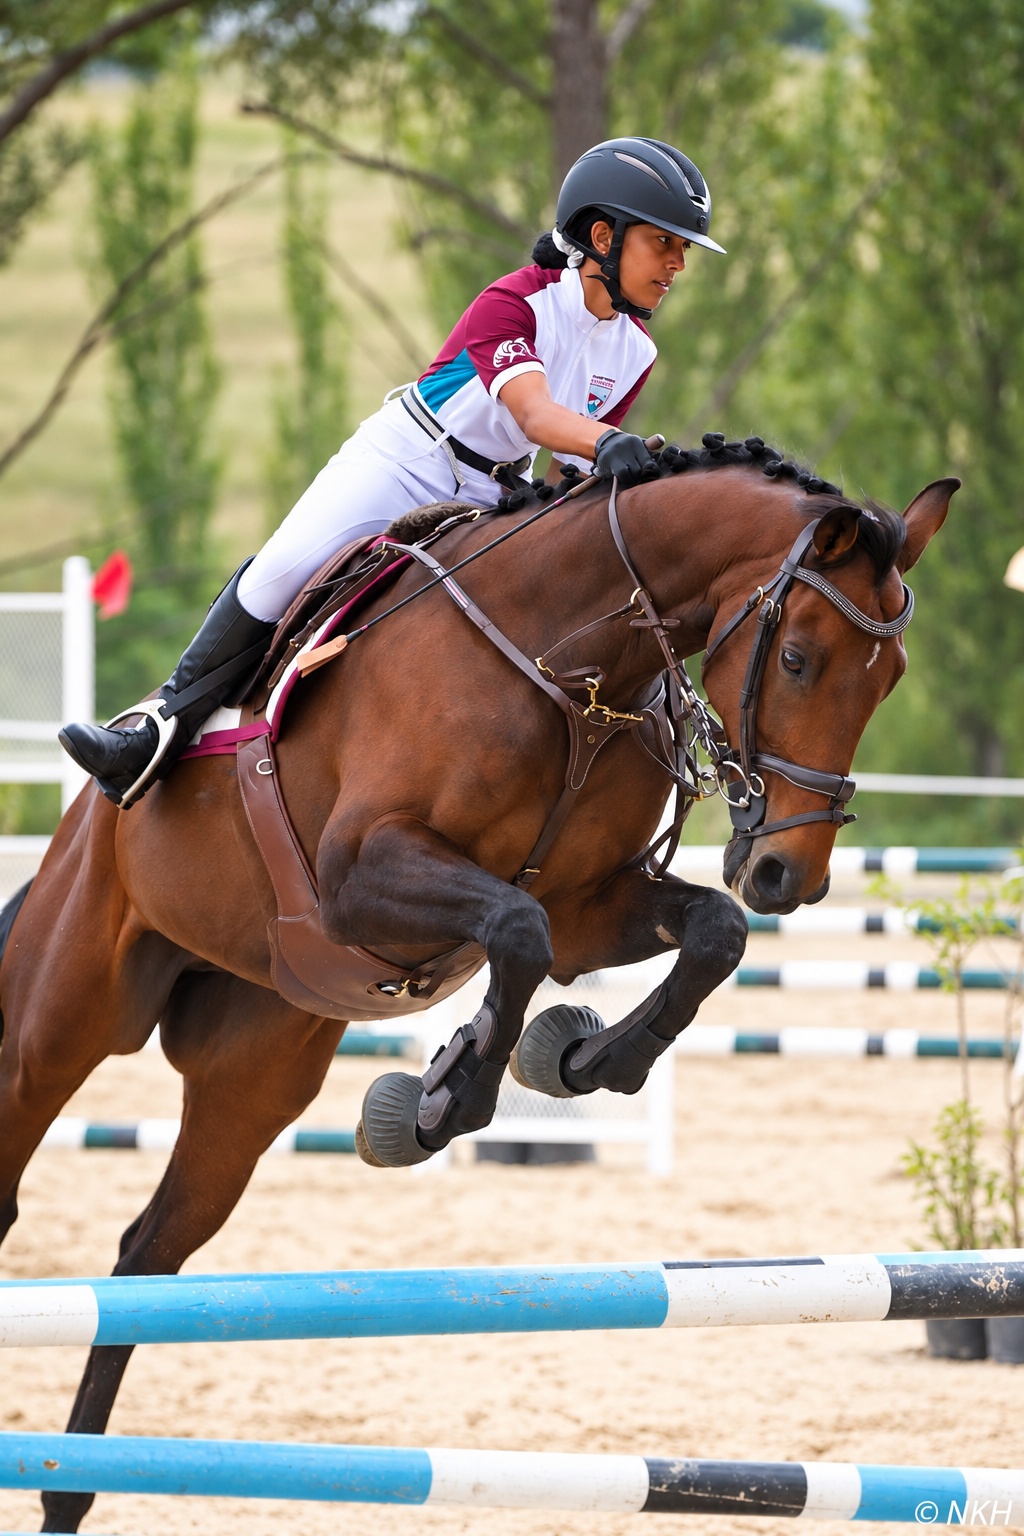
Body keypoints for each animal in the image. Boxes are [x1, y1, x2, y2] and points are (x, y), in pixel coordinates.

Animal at [0, 436, 955, 1533]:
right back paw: (124, 747)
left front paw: (574, 1058)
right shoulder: (361, 876)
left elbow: (697, 936)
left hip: (257, 1069)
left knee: (150, 1257)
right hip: (61, 1022)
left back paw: (68, 1492)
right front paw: (443, 1098)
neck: (570, 663)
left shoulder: (588, 901)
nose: (789, 876)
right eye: (797, 659)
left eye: (890, 679)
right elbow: (515, 934)